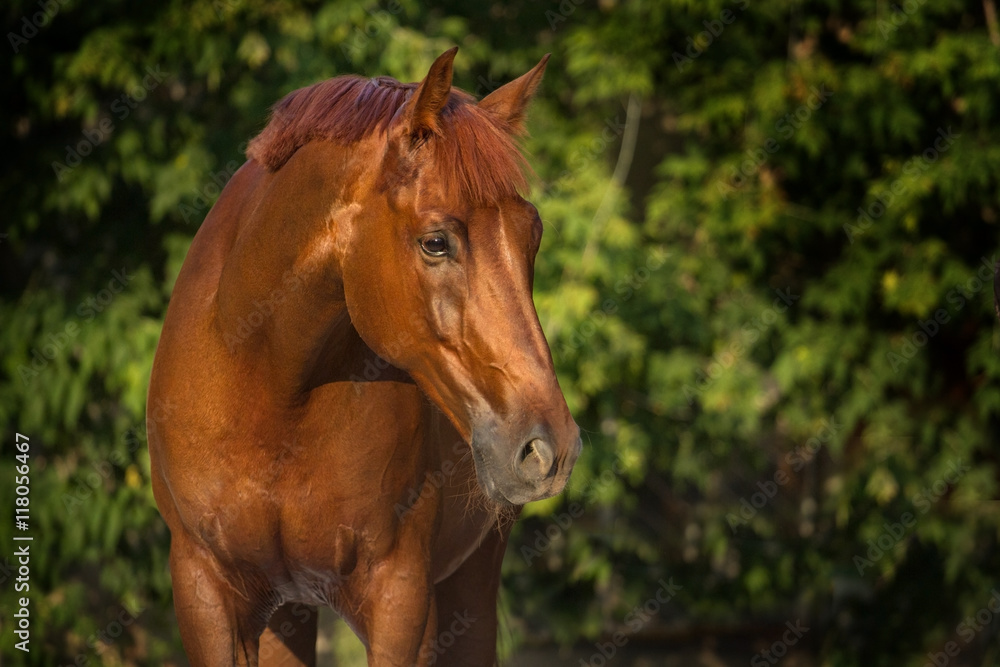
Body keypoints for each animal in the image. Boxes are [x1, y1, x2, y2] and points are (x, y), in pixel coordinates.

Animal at [146, 48, 584, 667]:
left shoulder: (400, 597)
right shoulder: (204, 590)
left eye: (533, 234)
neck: (271, 386)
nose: (549, 448)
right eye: (435, 242)